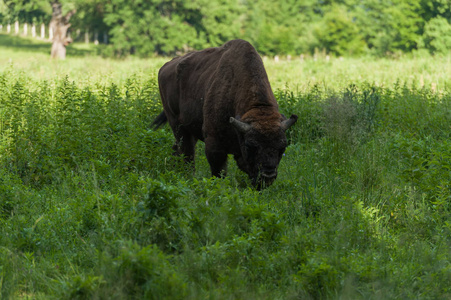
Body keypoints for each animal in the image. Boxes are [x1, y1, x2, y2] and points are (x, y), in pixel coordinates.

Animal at [154, 39, 298, 190]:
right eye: (250, 146)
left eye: (282, 147)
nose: (267, 176)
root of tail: (165, 67)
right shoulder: (214, 145)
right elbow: (219, 172)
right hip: (177, 125)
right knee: (187, 154)